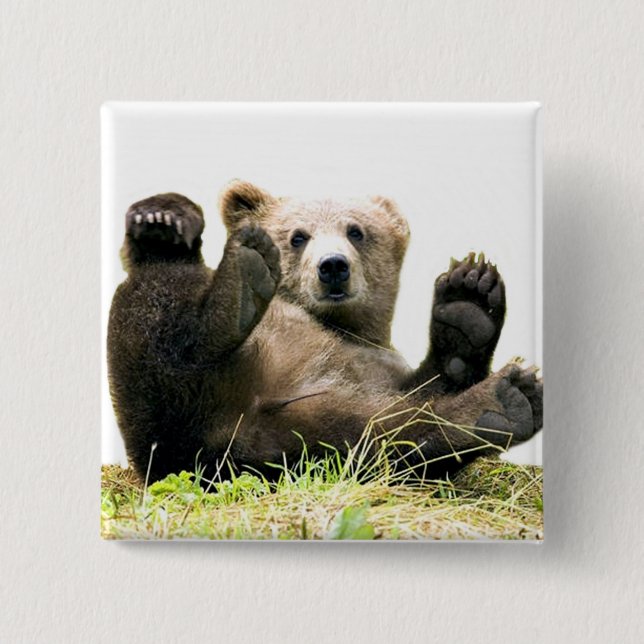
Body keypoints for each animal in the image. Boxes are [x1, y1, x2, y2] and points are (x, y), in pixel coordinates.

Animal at [107, 180, 542, 484]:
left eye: (356, 231)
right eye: (298, 235)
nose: (333, 266)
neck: (340, 325)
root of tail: (225, 434)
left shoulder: (376, 368)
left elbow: (426, 388)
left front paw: (469, 301)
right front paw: (161, 217)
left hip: (303, 434)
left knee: (387, 437)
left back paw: (500, 399)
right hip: (160, 403)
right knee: (157, 306)